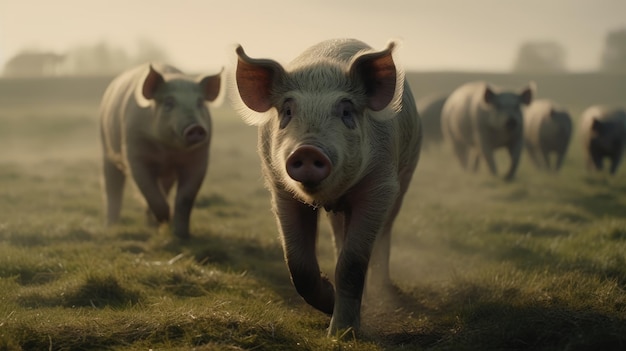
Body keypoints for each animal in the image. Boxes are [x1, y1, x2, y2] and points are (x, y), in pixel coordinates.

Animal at [98, 62, 221, 239]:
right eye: (169, 102)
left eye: (199, 103)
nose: (196, 128)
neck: (167, 151)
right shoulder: (135, 154)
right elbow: (149, 190)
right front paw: (166, 219)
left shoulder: (199, 160)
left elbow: (185, 199)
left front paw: (181, 235)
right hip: (106, 148)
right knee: (112, 187)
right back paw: (111, 226)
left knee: (164, 189)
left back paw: (152, 225)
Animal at [232, 39, 422, 338]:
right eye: (288, 111)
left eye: (346, 111)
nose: (308, 150)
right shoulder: (280, 189)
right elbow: (298, 264)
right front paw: (331, 302)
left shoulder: (380, 185)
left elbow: (352, 264)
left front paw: (342, 333)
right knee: (337, 237)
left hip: (405, 177)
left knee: (384, 235)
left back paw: (383, 290)